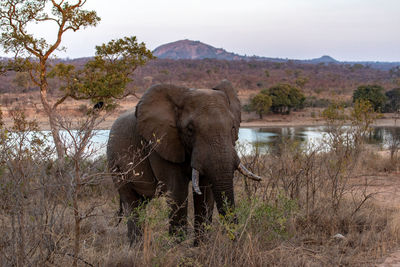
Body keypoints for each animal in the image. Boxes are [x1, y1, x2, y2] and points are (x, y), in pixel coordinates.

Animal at [108, 80, 260, 246]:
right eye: (190, 129)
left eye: (233, 127)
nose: (236, 242)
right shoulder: (158, 144)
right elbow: (177, 191)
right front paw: (177, 247)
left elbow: (205, 192)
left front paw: (201, 247)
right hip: (115, 164)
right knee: (132, 203)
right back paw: (136, 247)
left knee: (142, 203)